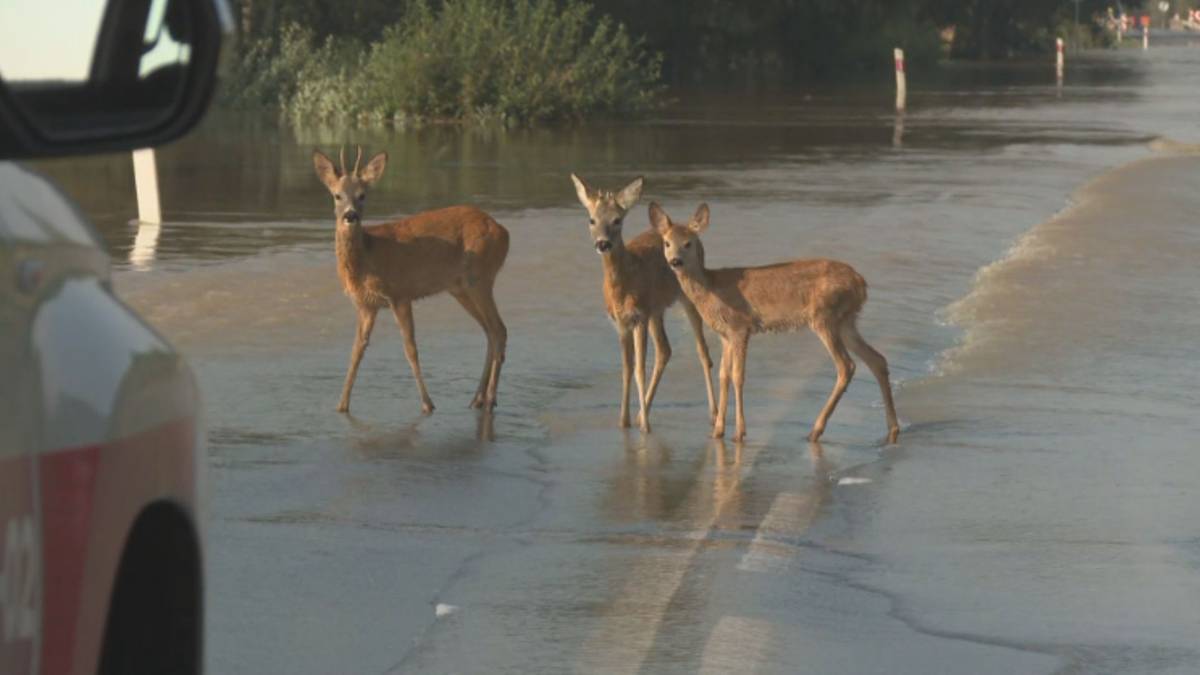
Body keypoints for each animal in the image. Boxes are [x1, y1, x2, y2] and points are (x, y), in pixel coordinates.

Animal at [314, 144, 506, 413]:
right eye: (336, 195)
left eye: (362, 195)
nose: (350, 216)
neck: (368, 257)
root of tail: (504, 232)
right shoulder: (366, 305)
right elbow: (356, 351)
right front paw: (341, 405)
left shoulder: (400, 294)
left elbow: (410, 349)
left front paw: (428, 404)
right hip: (461, 288)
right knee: (489, 331)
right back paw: (477, 398)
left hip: (480, 277)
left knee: (499, 329)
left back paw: (489, 399)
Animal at [568, 170, 715, 427]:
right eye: (591, 220)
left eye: (617, 220)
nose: (603, 243)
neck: (623, 287)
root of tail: (686, 228)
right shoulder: (621, 322)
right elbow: (627, 369)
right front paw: (624, 421)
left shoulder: (640, 317)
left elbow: (639, 371)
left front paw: (645, 427)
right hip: (657, 309)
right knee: (665, 350)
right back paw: (639, 414)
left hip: (685, 299)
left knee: (702, 351)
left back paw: (712, 414)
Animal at [648, 199, 902, 441]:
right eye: (667, 243)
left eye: (688, 243)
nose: (675, 261)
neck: (712, 288)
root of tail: (861, 283)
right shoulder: (725, 335)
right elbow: (723, 376)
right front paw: (717, 431)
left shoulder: (740, 327)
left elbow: (738, 376)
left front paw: (739, 433)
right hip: (846, 320)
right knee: (877, 359)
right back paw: (893, 428)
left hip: (825, 316)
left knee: (846, 366)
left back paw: (815, 430)